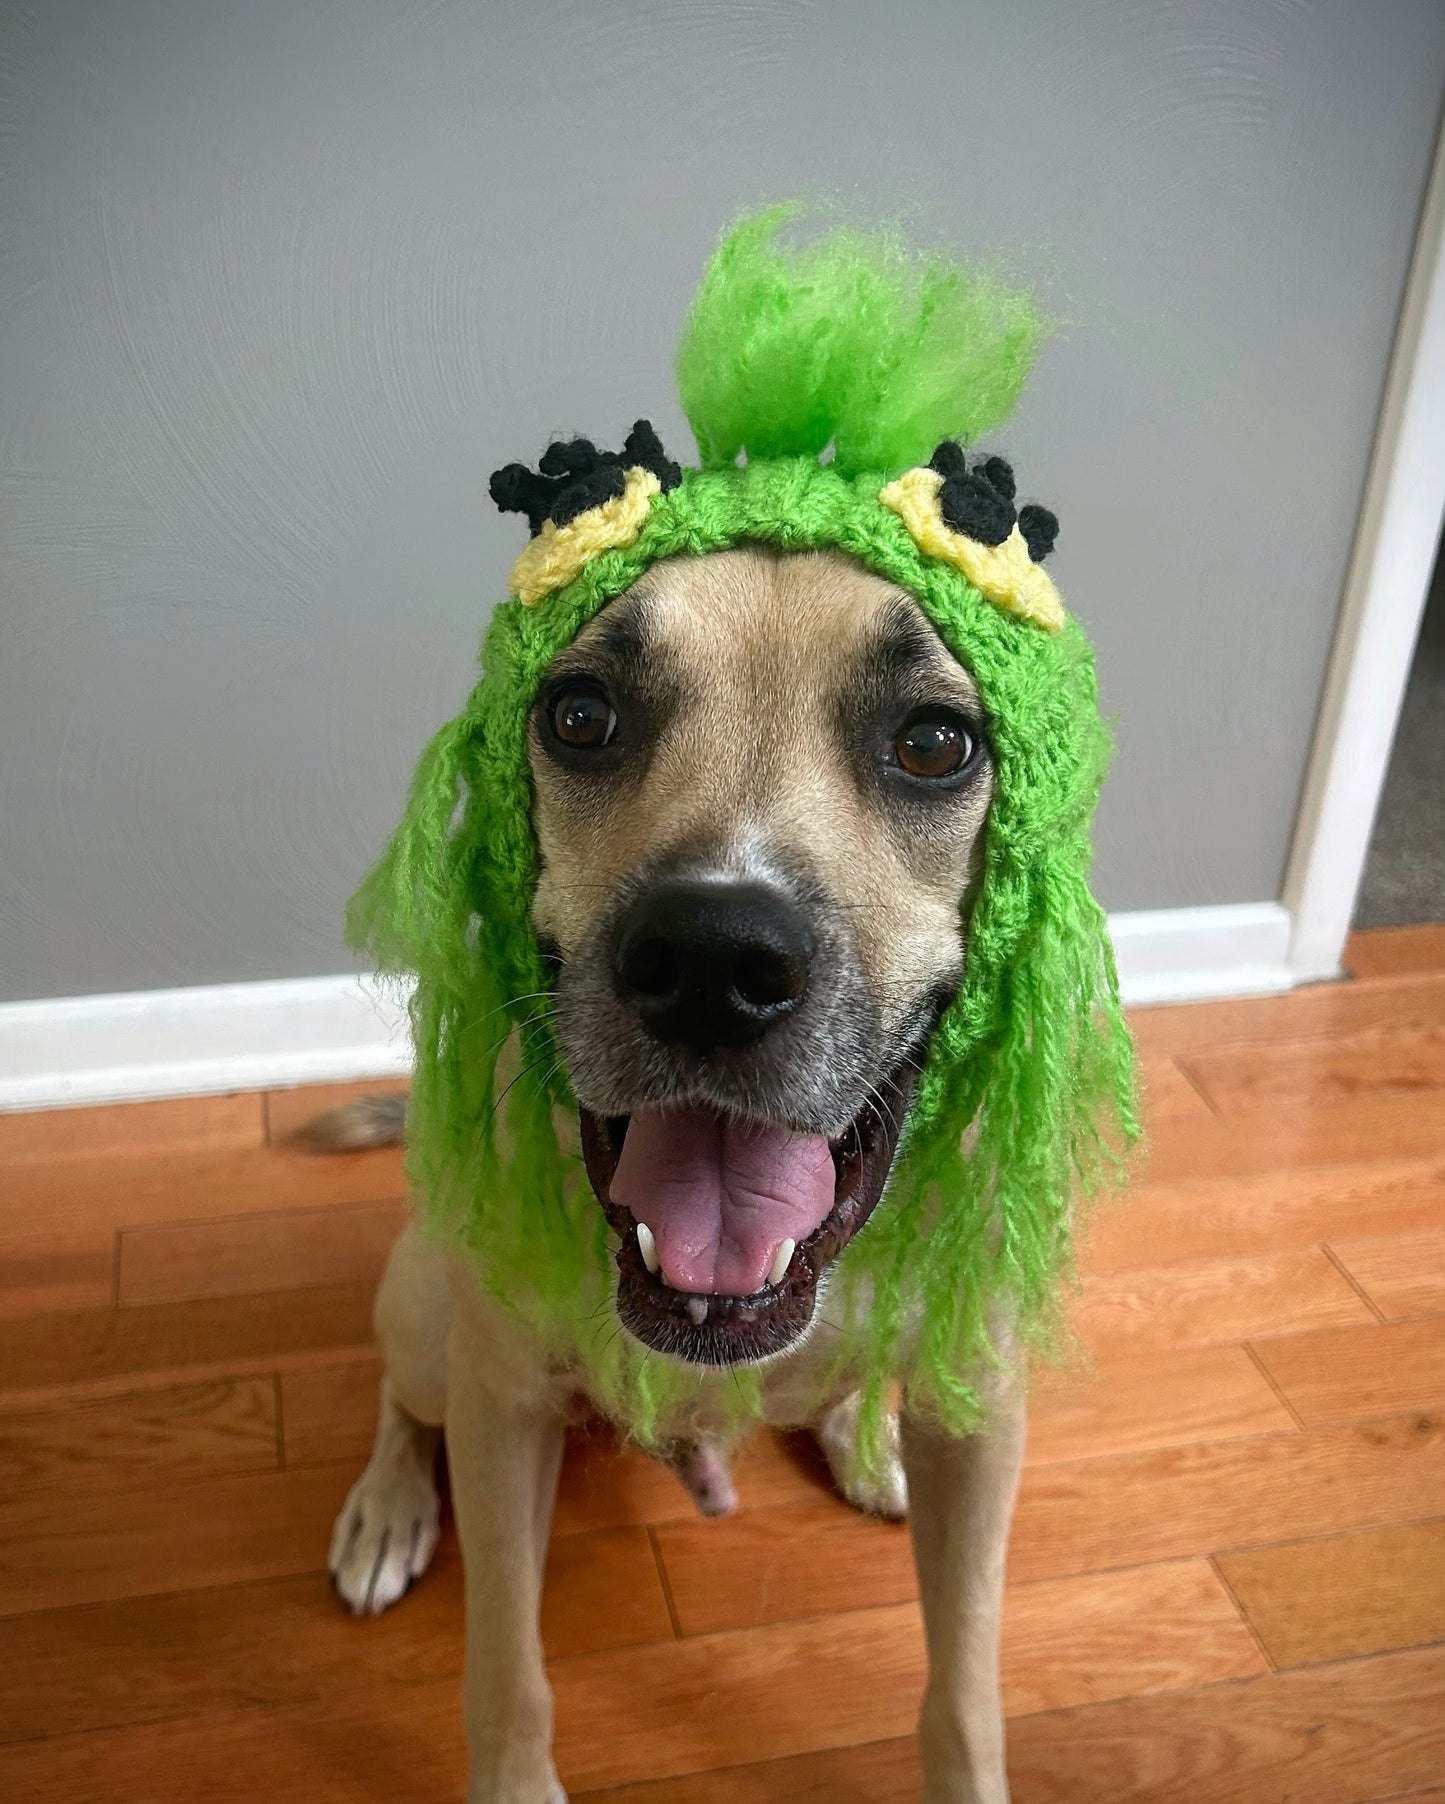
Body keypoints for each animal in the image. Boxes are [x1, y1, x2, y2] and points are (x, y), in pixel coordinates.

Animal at [319, 544, 1031, 1804]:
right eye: (580, 715)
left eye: (933, 741)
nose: (711, 959)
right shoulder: (501, 1403)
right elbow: (505, 1670)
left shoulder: (987, 1407)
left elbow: (963, 1687)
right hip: (426, 1314)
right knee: (402, 1400)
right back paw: (388, 1505)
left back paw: (865, 1436)